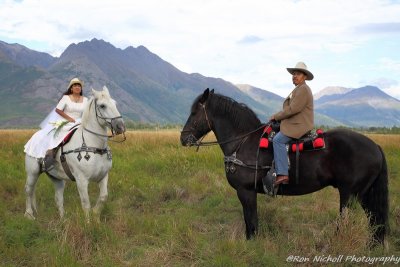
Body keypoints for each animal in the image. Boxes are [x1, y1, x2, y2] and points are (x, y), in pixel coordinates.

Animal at [25, 87, 125, 221]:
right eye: (102, 106)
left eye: (115, 103)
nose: (120, 127)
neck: (93, 145)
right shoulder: (81, 180)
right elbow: (86, 203)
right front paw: (88, 223)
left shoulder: (103, 176)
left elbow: (103, 197)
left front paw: (96, 217)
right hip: (33, 173)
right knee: (29, 190)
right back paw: (29, 214)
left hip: (57, 178)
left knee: (58, 198)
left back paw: (63, 220)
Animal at [180, 88, 388, 245]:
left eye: (194, 112)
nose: (183, 138)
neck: (243, 142)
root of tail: (375, 146)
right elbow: (250, 219)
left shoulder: (246, 191)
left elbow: (251, 220)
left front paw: (251, 243)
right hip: (363, 194)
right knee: (374, 220)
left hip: (349, 194)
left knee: (346, 221)